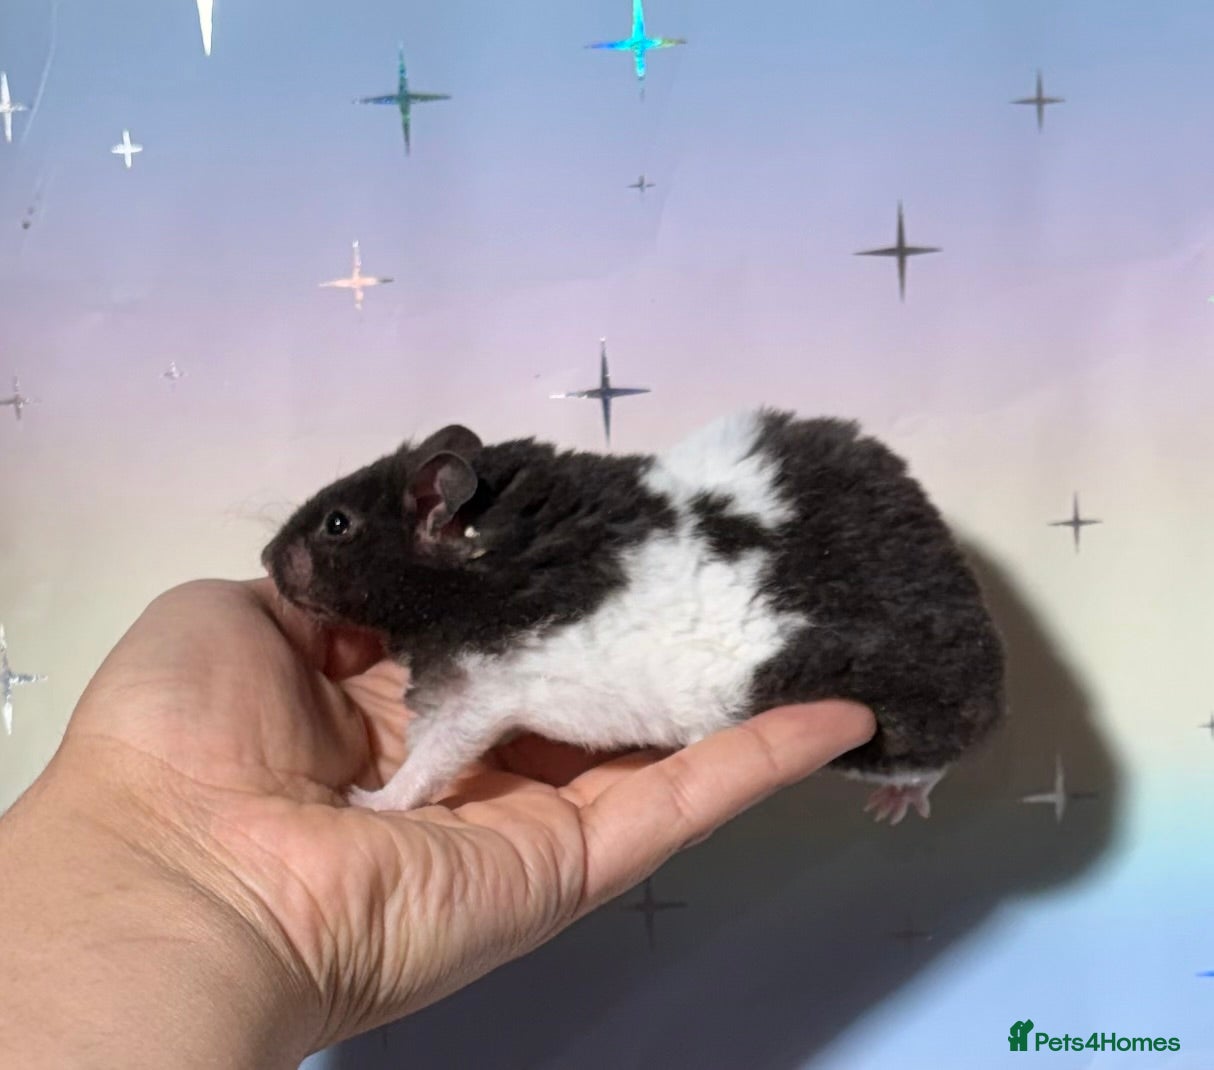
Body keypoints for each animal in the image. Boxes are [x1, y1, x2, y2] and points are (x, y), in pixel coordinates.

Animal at [262, 410, 1006, 821]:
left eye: (336, 524)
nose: (265, 560)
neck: (486, 553)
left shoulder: (479, 699)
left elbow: (428, 763)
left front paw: (364, 801)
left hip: (892, 720)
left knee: (938, 761)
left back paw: (894, 809)